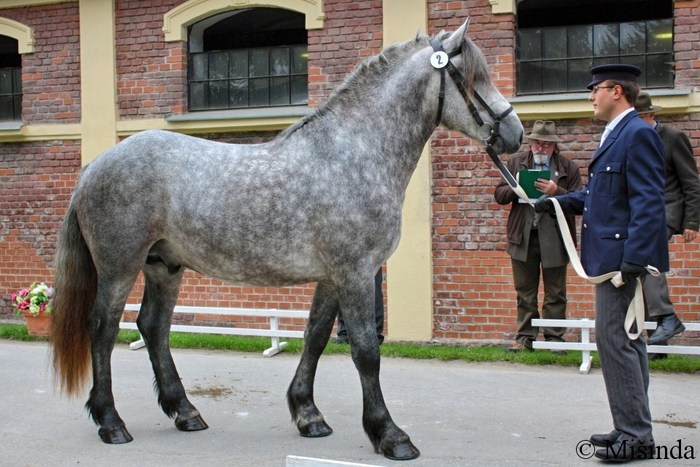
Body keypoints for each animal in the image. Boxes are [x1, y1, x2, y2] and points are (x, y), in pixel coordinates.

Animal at [50, 19, 522, 461]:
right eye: (474, 79)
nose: (515, 133)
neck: (353, 155)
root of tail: (96, 165)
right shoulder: (355, 274)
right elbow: (366, 352)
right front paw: (389, 434)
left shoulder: (332, 277)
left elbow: (315, 336)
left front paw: (308, 415)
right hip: (119, 267)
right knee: (103, 329)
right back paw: (111, 422)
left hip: (164, 266)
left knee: (153, 326)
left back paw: (184, 411)